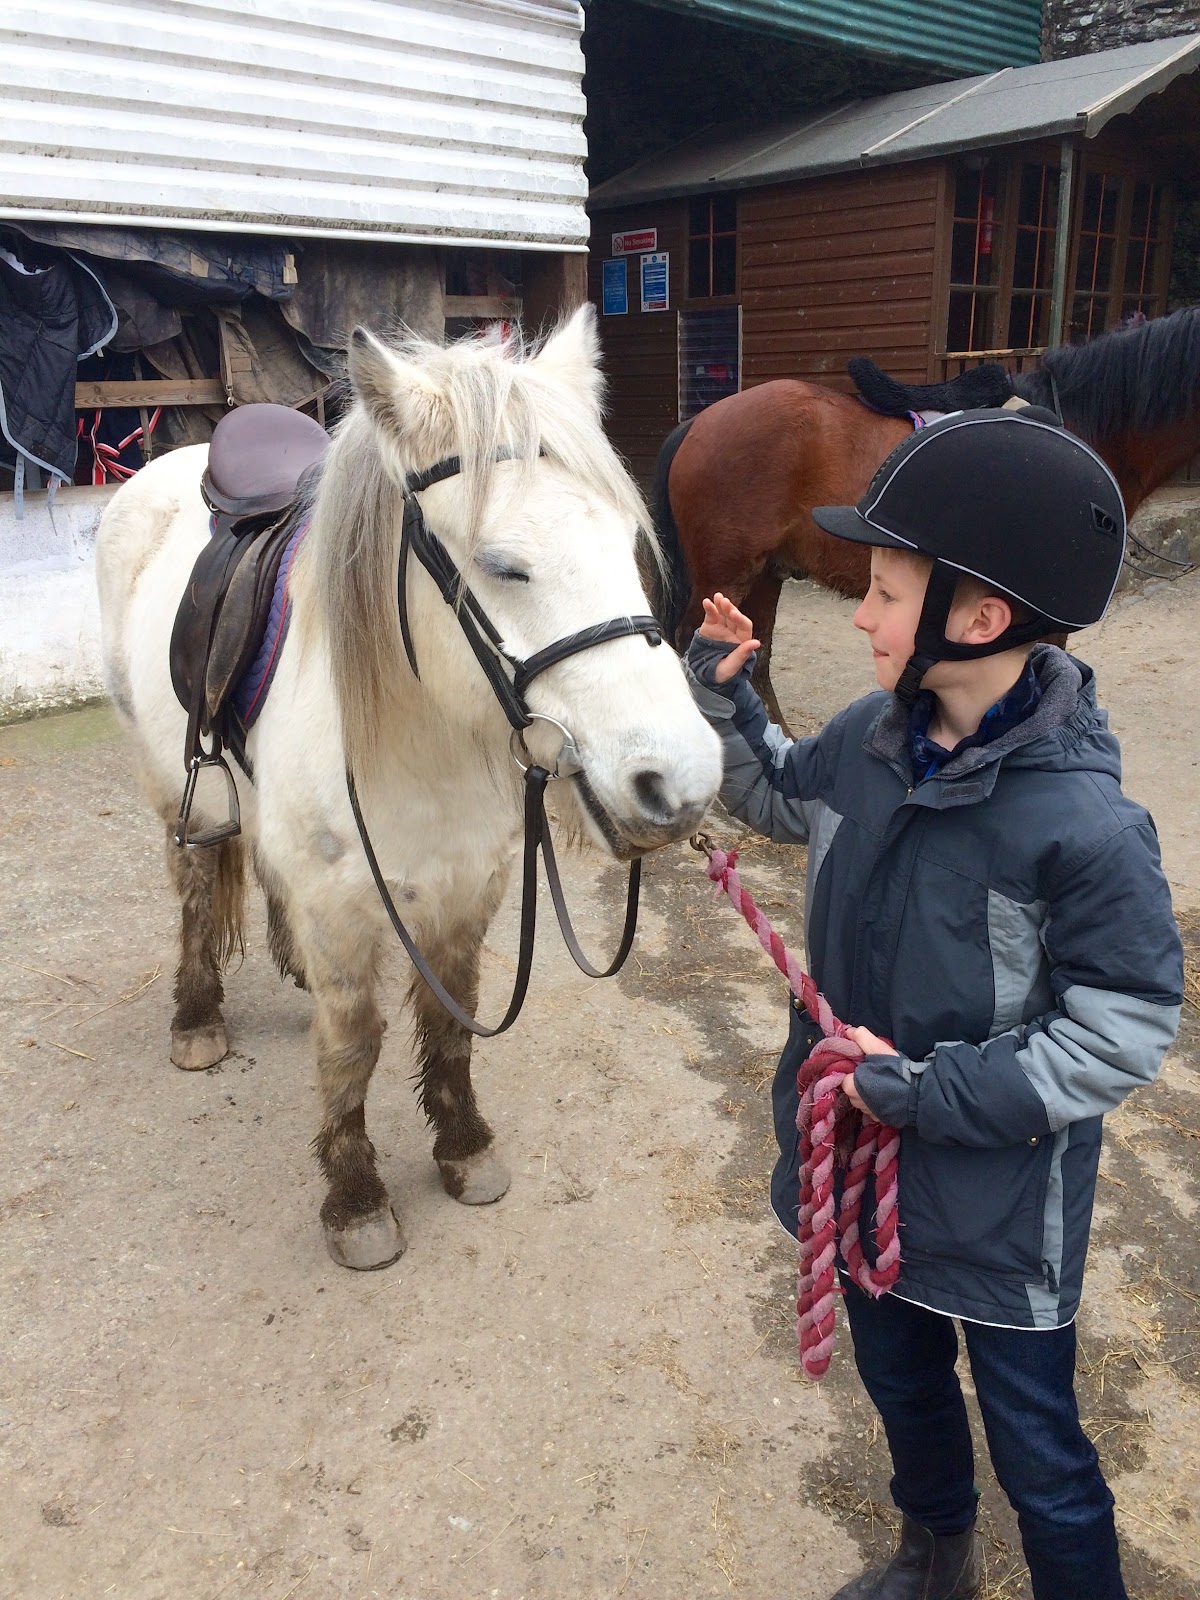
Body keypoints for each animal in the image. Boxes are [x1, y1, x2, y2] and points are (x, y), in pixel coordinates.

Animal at [94, 306, 722, 1272]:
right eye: (503, 566)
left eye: (628, 544)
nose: (680, 784)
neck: (427, 741)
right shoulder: (343, 913)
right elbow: (353, 1049)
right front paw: (355, 1200)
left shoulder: (469, 891)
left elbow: (453, 1023)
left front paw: (464, 1150)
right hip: (176, 788)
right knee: (198, 886)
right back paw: (196, 1019)